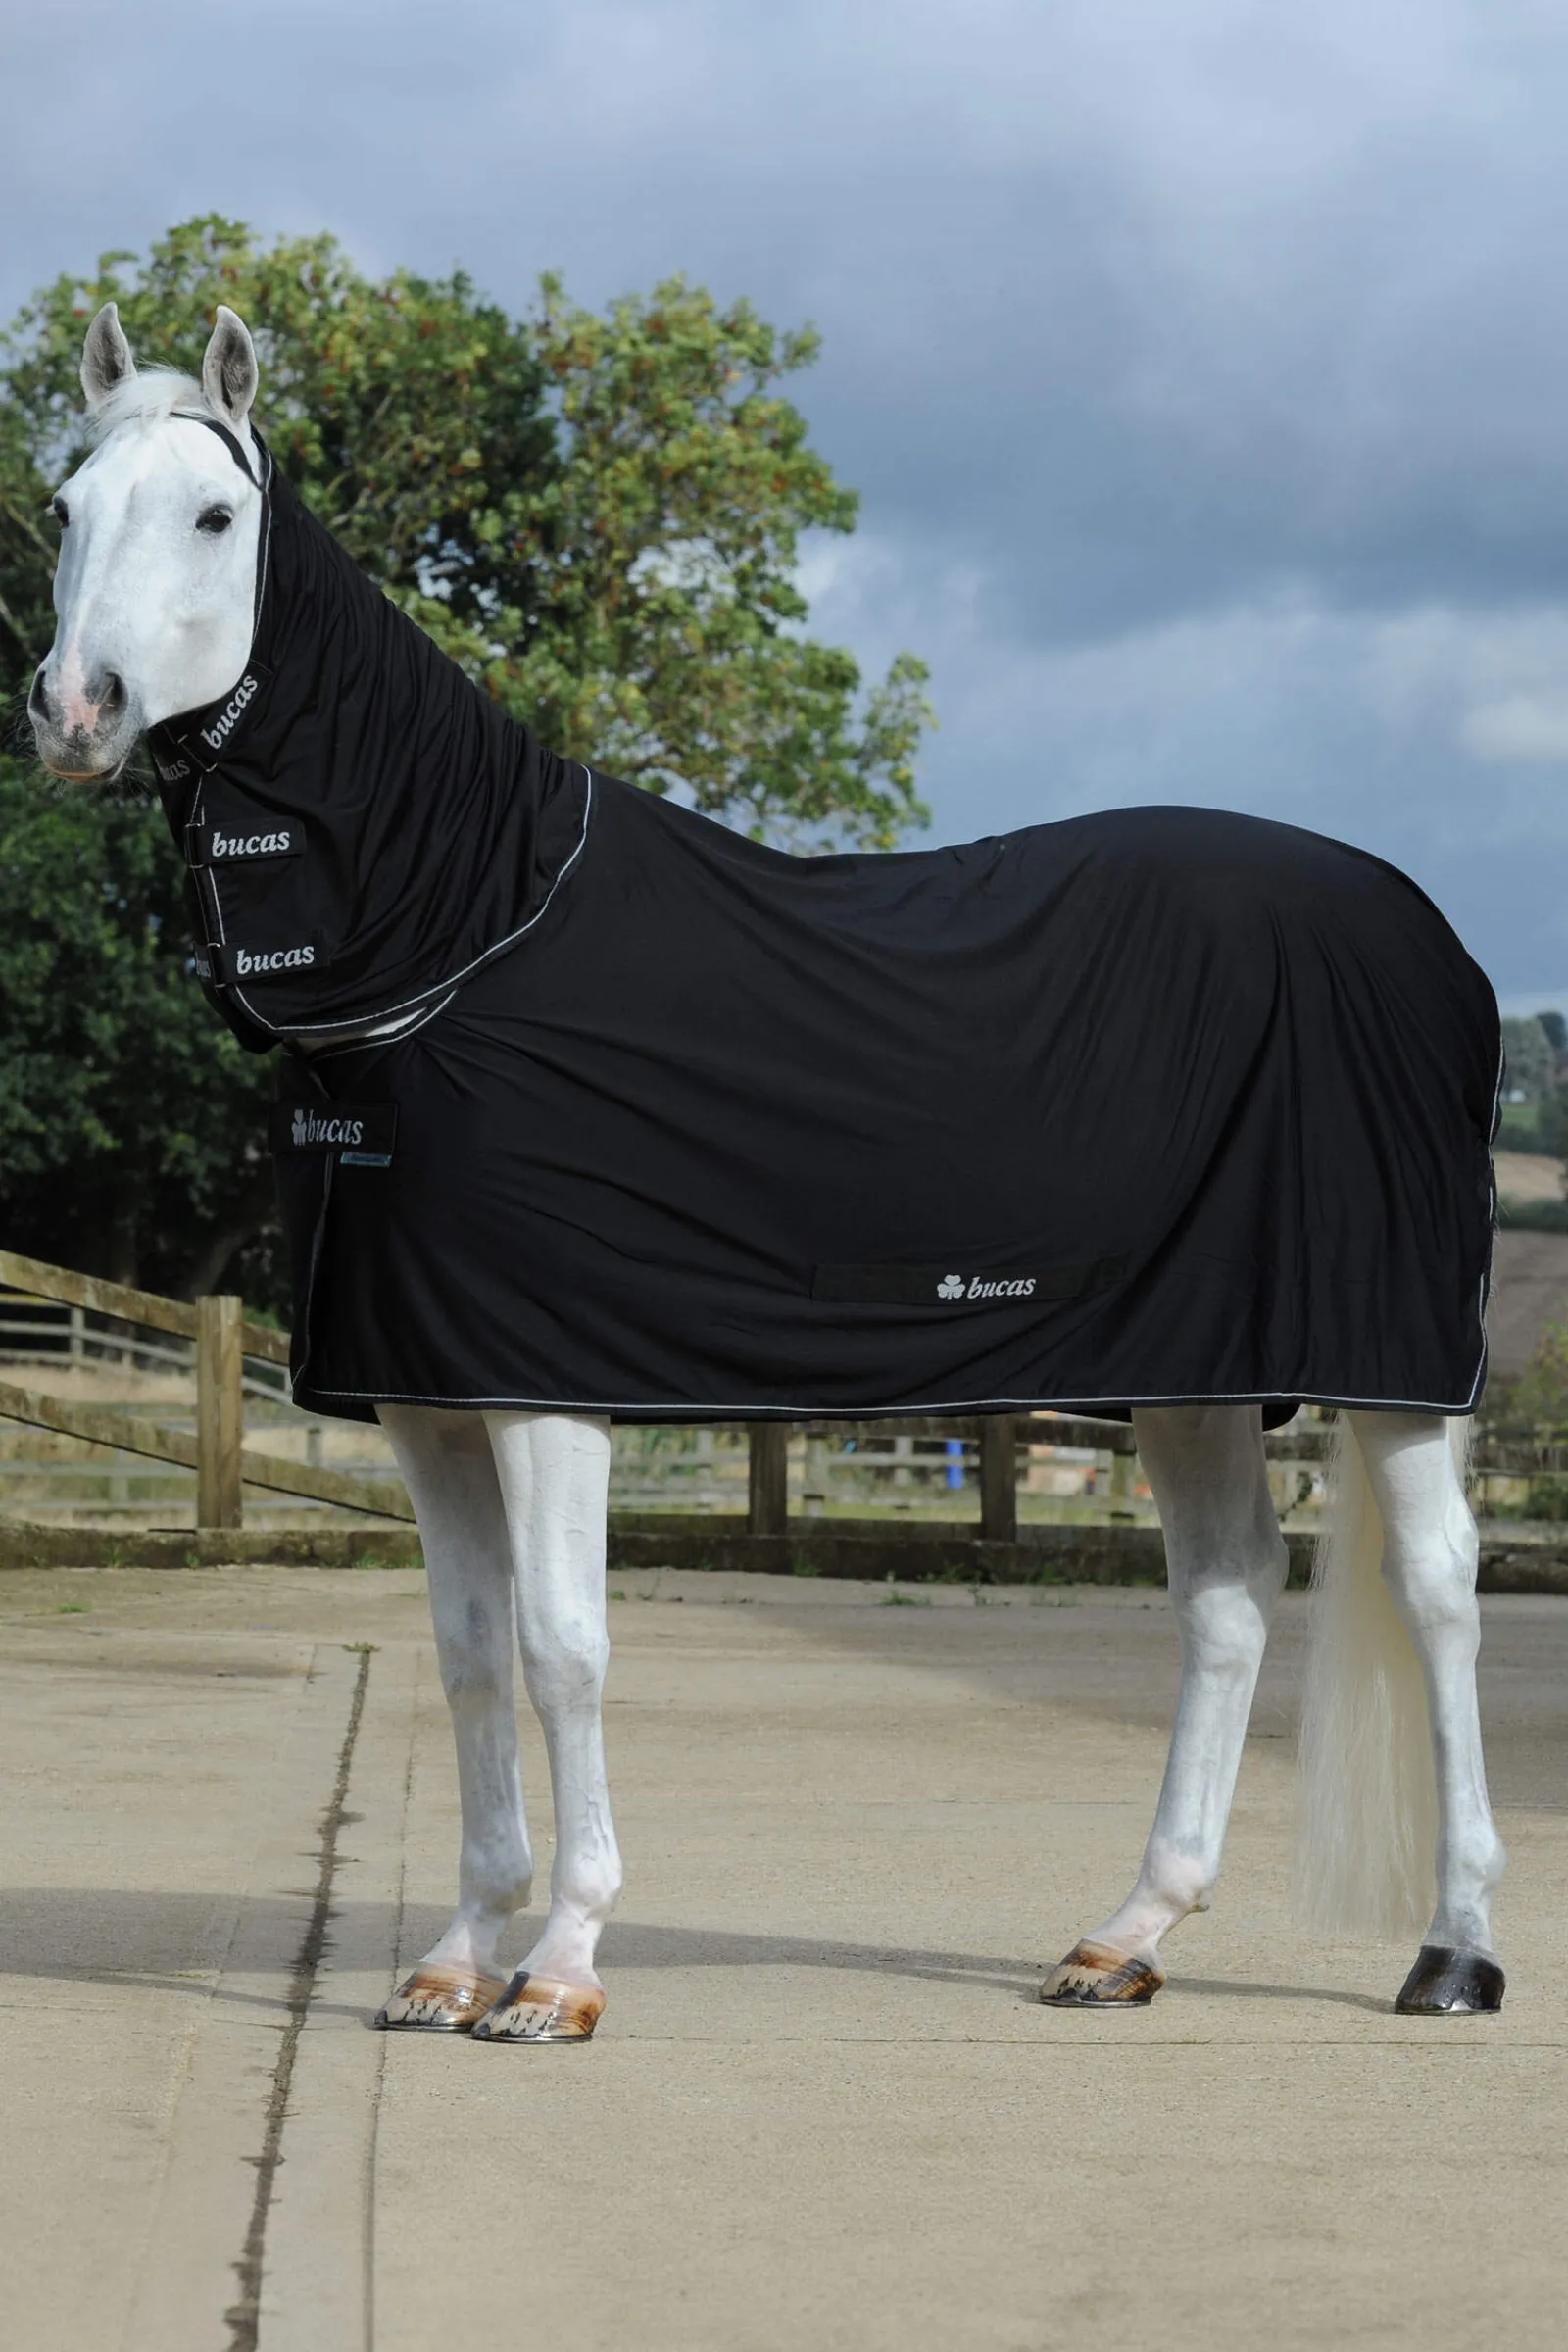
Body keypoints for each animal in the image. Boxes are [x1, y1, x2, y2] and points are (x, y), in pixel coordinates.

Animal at [25, 300, 1508, 2038]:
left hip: (1391, 1367)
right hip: (1194, 1367)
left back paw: (1455, 1951)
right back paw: (1124, 1938)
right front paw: (455, 1959)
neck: (468, 936)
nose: (76, 709)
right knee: (1225, 1596)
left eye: (215, 514)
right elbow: (465, 1652)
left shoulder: (542, 1391)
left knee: (1440, 1593)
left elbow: (562, 1651)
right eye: (64, 507)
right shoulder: (425, 1397)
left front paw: (561, 1970)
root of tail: (1432, 942)